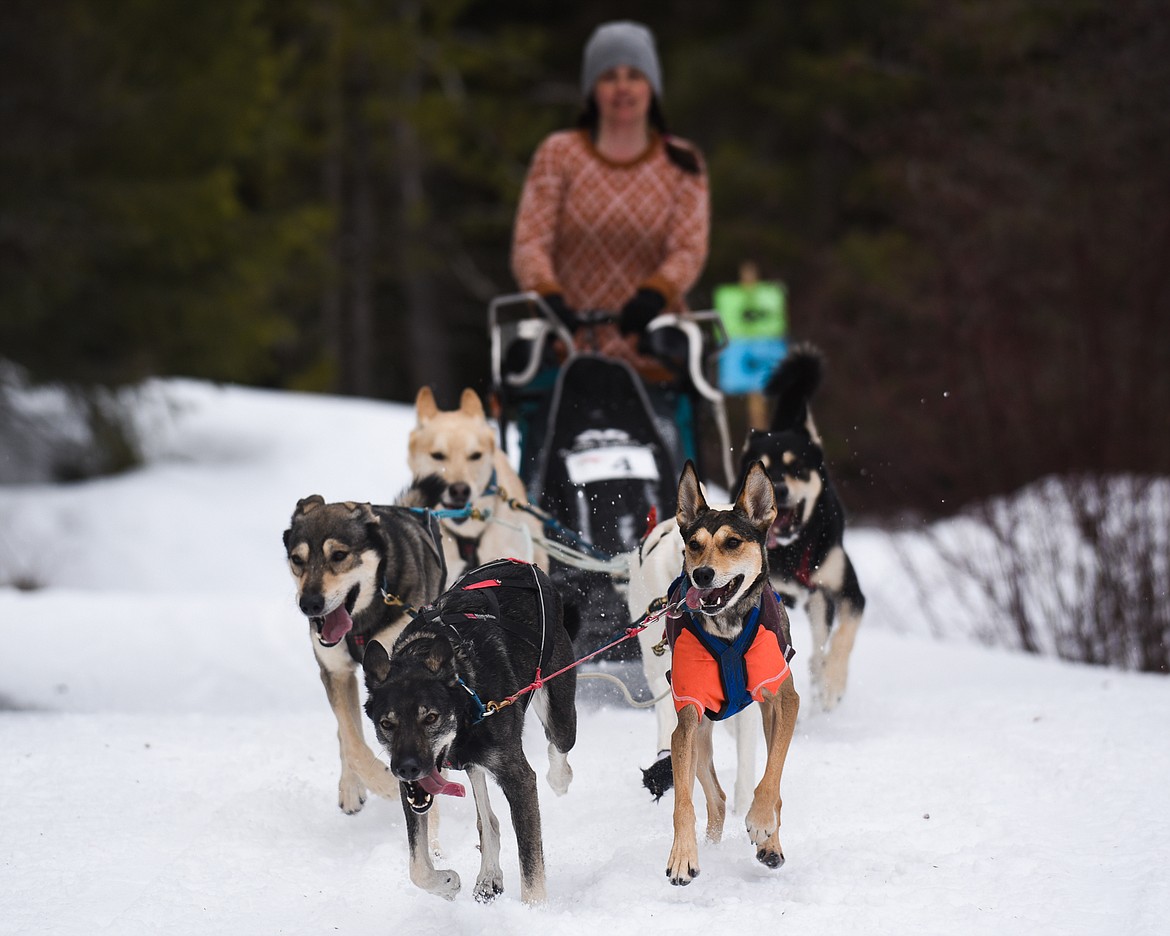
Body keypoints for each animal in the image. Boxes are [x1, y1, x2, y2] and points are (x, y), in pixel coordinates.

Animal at [360, 559, 570, 903]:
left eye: (430, 717)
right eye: (387, 724)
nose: (407, 768)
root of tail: (523, 564)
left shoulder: (518, 778)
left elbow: (530, 863)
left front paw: (534, 909)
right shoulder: (412, 789)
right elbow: (417, 866)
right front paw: (445, 883)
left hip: (560, 711)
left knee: (560, 746)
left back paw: (559, 777)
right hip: (473, 763)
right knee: (489, 821)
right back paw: (488, 876)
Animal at [664, 463, 800, 889]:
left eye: (733, 542)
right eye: (694, 544)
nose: (702, 574)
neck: (726, 628)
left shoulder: (784, 700)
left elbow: (771, 777)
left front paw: (761, 823)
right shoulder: (687, 717)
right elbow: (683, 803)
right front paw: (682, 856)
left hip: (766, 716)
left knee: (771, 783)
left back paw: (770, 841)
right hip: (699, 736)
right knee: (717, 799)